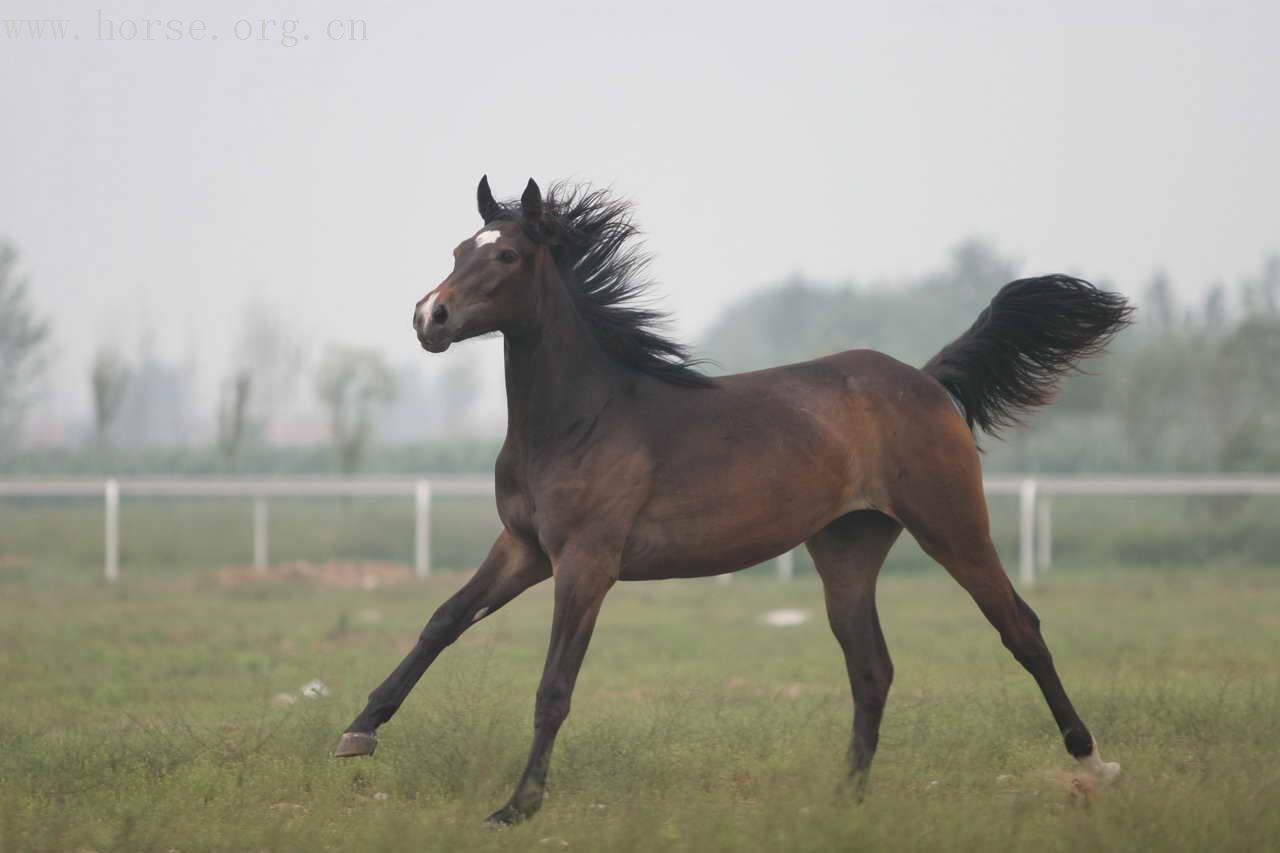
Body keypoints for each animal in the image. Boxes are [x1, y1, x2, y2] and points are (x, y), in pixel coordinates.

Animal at [335, 174, 1136, 824]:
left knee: (1021, 629)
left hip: (954, 526)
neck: (580, 416)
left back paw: (1094, 765)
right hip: (848, 550)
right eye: (457, 248)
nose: (429, 317)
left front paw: (516, 806)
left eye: (505, 257)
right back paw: (844, 799)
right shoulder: (526, 548)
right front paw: (357, 730)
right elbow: (442, 621)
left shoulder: (586, 562)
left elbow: (554, 684)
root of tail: (929, 380)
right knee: (872, 668)